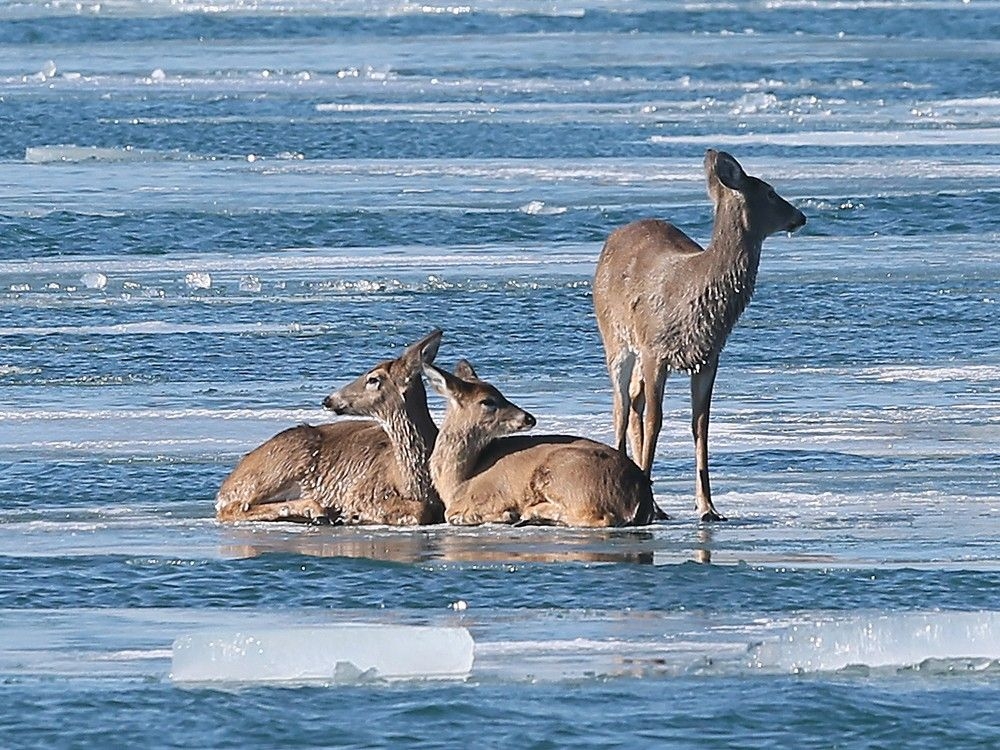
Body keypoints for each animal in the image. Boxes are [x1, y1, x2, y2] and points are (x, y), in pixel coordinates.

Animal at [215, 330, 444, 525]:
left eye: (373, 379)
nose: (328, 399)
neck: (413, 483)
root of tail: (226, 484)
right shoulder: (361, 490)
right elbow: (420, 511)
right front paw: (353, 515)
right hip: (281, 464)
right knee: (234, 507)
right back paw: (317, 510)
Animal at [423, 360, 659, 528]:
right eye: (487, 401)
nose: (529, 418)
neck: (459, 481)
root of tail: (641, 493)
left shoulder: (489, 495)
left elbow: (451, 515)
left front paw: (506, 514)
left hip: (565, 475)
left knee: (600, 517)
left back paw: (533, 513)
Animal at [592, 149, 806, 522]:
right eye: (769, 191)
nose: (800, 217)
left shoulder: (708, 356)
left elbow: (700, 425)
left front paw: (707, 506)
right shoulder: (655, 348)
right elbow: (657, 420)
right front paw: (643, 503)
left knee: (633, 400)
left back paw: (657, 502)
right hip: (616, 338)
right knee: (621, 406)